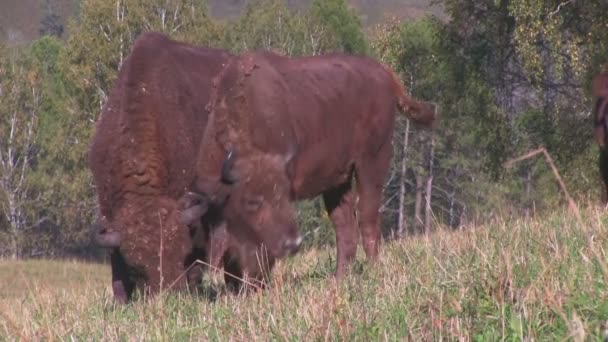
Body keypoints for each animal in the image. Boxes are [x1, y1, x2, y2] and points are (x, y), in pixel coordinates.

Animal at [182, 51, 436, 280]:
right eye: (252, 201)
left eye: (284, 196)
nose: (293, 243)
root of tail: (385, 73)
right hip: (338, 181)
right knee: (345, 229)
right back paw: (339, 280)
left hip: (373, 163)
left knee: (367, 220)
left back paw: (374, 273)